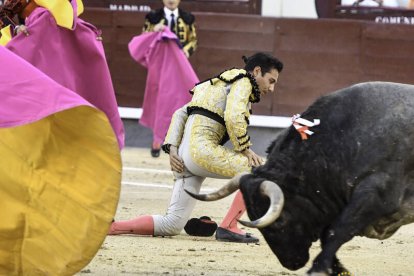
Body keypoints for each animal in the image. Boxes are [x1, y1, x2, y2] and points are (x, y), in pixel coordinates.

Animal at [187, 82, 414, 276]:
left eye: (280, 221)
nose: (291, 263)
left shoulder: (375, 195)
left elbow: (337, 230)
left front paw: (319, 268)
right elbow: (327, 234)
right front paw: (336, 268)